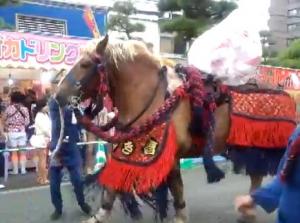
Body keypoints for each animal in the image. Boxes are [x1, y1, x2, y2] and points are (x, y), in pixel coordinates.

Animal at [54, 35, 227, 222]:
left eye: (85, 64)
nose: (58, 95)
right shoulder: (127, 151)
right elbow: (113, 184)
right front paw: (102, 213)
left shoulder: (169, 155)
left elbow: (176, 185)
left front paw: (179, 215)